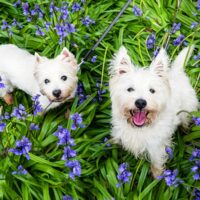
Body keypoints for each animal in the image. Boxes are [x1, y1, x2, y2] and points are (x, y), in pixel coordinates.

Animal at [109, 45, 198, 177]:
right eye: (130, 89)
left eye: (152, 90)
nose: (141, 102)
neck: (139, 129)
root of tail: (177, 73)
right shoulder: (120, 135)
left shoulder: (156, 147)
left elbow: (156, 162)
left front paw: (158, 176)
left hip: (186, 111)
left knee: (185, 121)